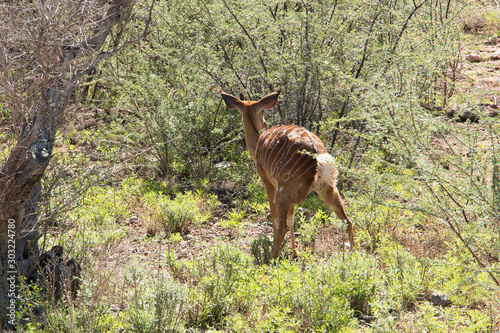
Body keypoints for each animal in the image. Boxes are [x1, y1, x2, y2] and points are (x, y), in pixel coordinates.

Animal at [221, 91, 354, 260]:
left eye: (262, 110)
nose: (264, 123)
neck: (256, 144)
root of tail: (319, 157)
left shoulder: (269, 182)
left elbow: (276, 220)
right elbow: (292, 219)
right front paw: (295, 252)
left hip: (284, 191)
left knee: (281, 227)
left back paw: (269, 259)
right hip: (327, 188)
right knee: (347, 220)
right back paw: (354, 254)